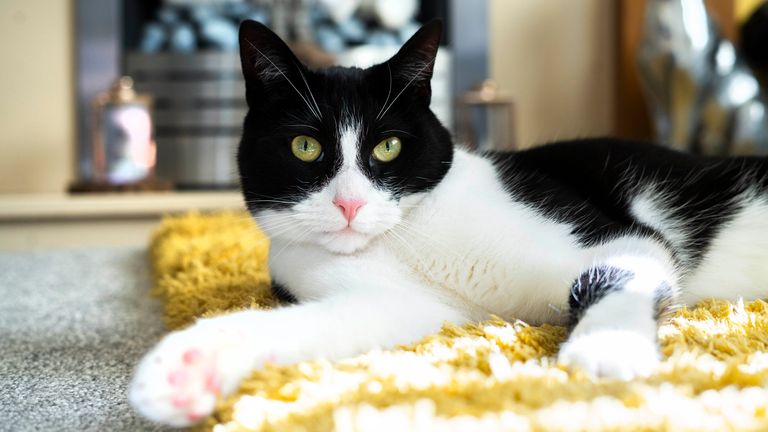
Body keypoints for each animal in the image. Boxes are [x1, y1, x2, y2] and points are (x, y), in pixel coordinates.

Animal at [130, 19, 768, 426]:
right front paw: (189, 367)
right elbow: (316, 325)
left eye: (388, 147)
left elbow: (616, 269)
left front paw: (606, 349)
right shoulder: (404, 305)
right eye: (305, 147)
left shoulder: (621, 236)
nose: (349, 206)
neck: (408, 239)